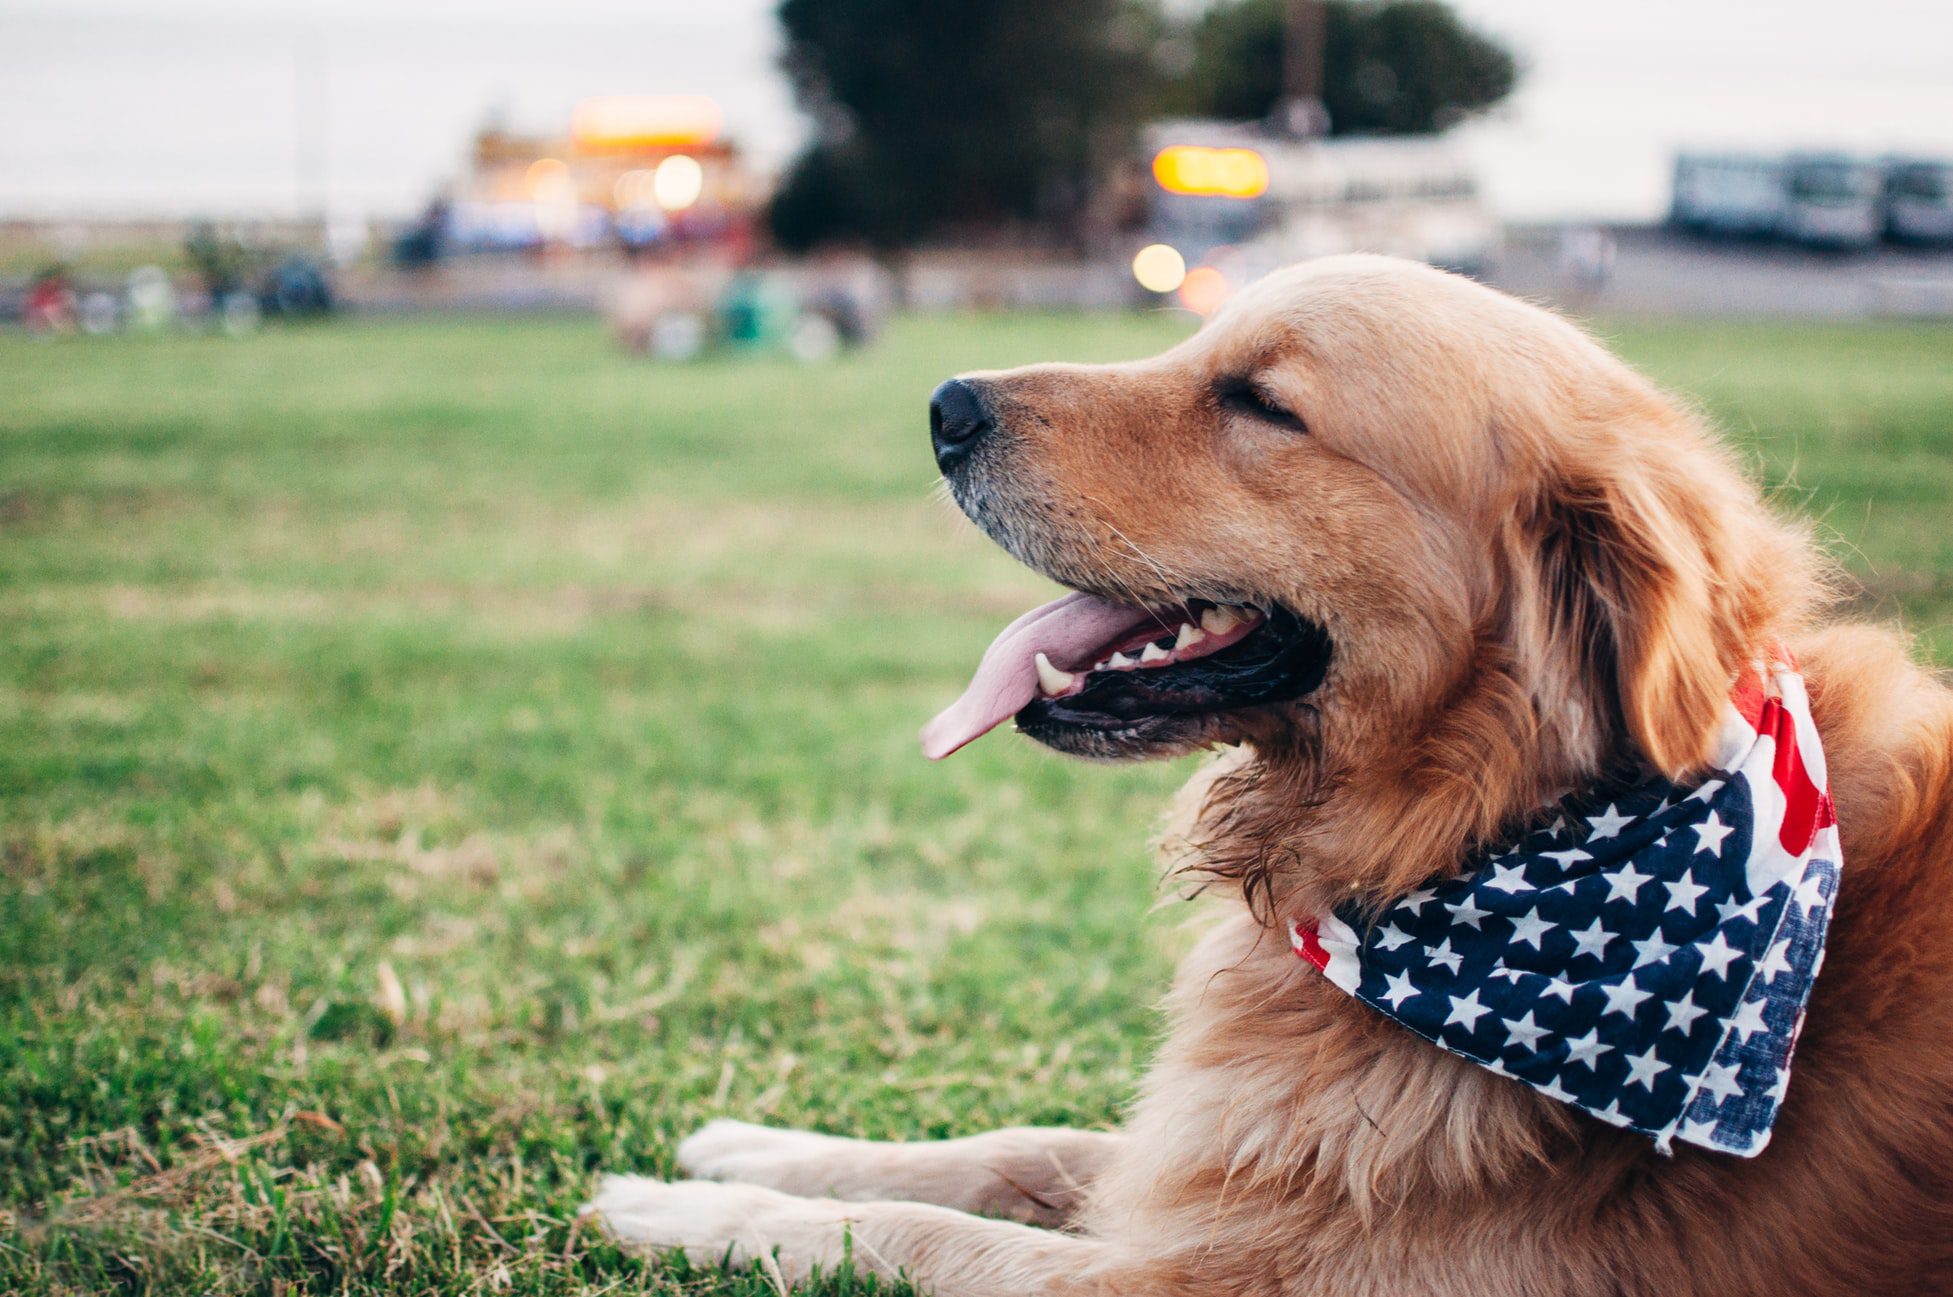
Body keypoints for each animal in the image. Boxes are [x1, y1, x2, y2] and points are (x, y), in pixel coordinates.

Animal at [589, 255, 1953, 1297]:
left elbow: (908, 1231)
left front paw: (676, 1211)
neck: (1472, 831)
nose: (944, 405)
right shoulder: (1216, 1163)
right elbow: (1001, 1146)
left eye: (1261, 402)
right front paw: (749, 1144)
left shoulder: (1208, 1275)